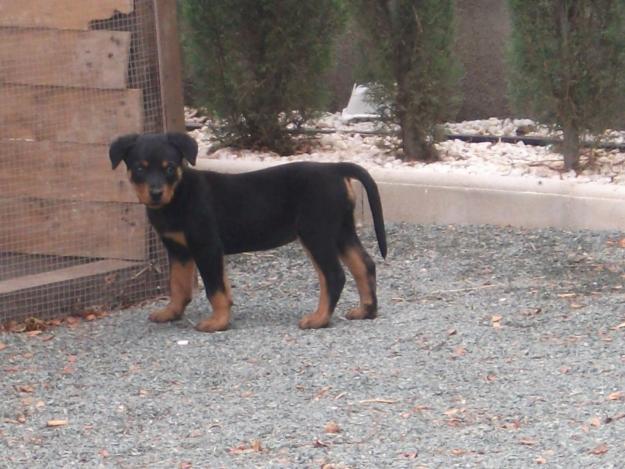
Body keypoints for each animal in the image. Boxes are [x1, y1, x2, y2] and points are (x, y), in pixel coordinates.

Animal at [110, 130, 388, 330]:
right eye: (140, 168)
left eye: (169, 167)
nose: (156, 193)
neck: (178, 195)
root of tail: (335, 168)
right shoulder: (179, 250)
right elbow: (178, 285)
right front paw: (171, 312)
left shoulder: (206, 246)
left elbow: (215, 289)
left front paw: (217, 322)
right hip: (341, 230)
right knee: (364, 265)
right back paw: (366, 311)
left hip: (316, 233)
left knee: (334, 276)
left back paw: (318, 319)